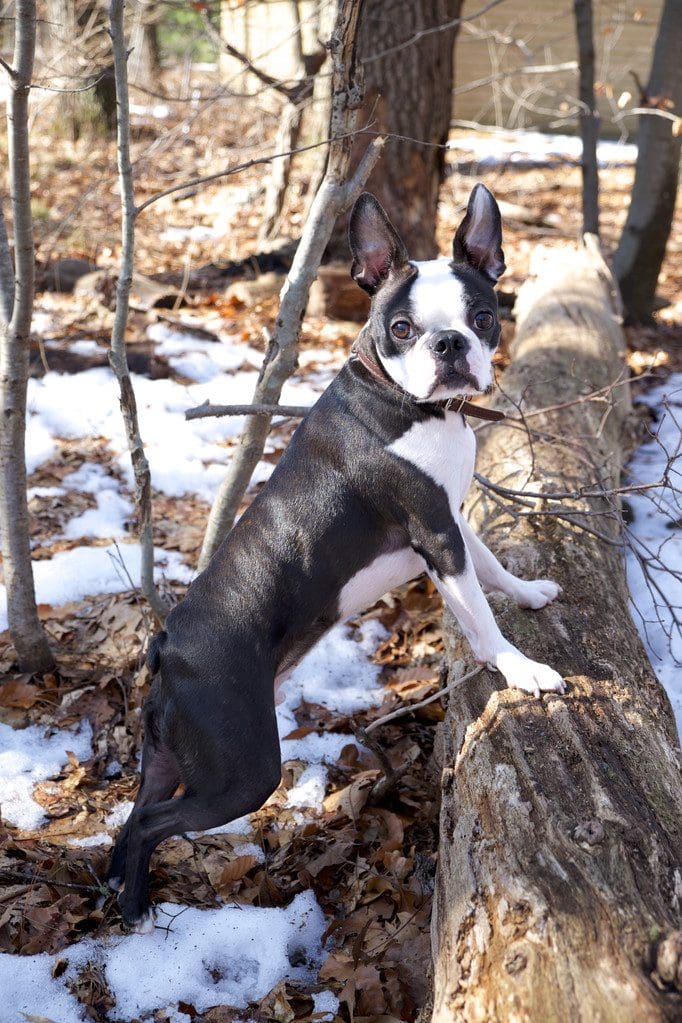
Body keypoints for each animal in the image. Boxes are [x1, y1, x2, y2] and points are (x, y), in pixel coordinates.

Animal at [106, 182, 564, 928]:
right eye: (401, 328)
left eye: (483, 315)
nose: (450, 344)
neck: (406, 402)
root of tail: (166, 644)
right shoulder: (436, 532)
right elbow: (478, 616)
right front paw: (520, 669)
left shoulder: (453, 519)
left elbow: (492, 568)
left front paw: (528, 593)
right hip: (243, 768)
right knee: (151, 821)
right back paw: (137, 906)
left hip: (172, 754)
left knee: (135, 812)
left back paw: (119, 890)